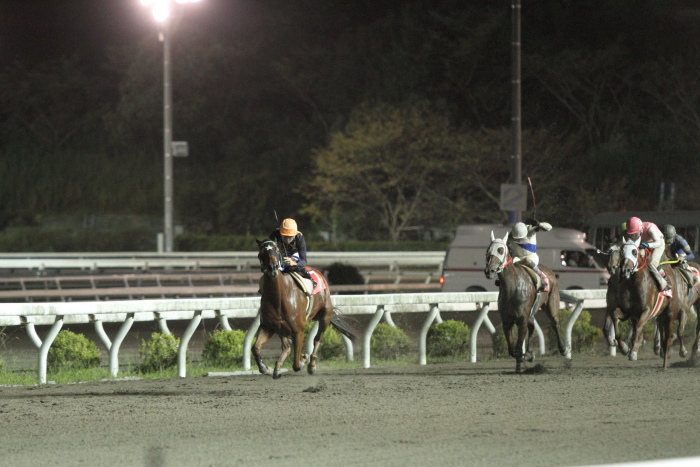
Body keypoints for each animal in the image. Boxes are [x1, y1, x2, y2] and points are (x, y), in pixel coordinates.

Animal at [253, 239, 356, 378]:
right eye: (261, 252)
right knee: (287, 346)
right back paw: (278, 368)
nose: (272, 267)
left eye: (276, 249)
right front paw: (266, 368)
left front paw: (303, 360)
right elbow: (255, 348)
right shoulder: (268, 327)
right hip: (281, 328)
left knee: (317, 340)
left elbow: (296, 365)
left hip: (325, 316)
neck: (279, 298)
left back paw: (311, 365)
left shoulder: (298, 330)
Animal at [484, 231, 568, 372]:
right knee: (532, 326)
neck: (512, 287)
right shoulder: (507, 321)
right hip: (531, 312)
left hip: (551, 305)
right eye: (487, 250)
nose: (489, 270)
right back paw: (529, 353)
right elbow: (512, 350)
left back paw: (563, 349)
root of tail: (549, 272)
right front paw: (526, 357)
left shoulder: (521, 319)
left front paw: (522, 360)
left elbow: (518, 347)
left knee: (555, 323)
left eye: (500, 250)